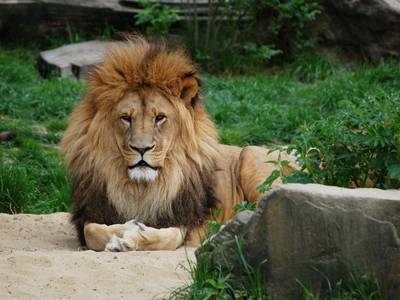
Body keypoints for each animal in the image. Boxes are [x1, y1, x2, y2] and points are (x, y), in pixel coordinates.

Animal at [59, 38, 294, 253]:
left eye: (159, 118)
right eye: (126, 118)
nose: (142, 149)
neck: (141, 188)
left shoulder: (186, 220)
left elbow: (169, 236)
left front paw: (133, 237)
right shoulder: (90, 213)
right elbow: (93, 231)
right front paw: (127, 228)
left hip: (252, 159)